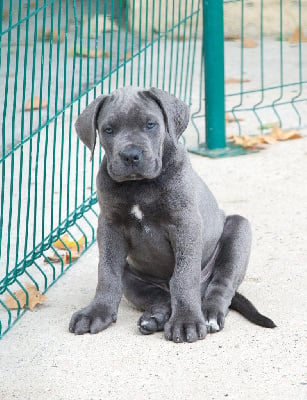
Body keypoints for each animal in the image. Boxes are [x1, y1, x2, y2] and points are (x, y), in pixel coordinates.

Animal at [70, 86, 276, 342]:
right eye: (108, 129)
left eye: (150, 124)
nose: (130, 155)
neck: (139, 185)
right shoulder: (110, 226)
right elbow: (107, 272)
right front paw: (96, 312)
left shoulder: (185, 224)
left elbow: (183, 276)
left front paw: (186, 321)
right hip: (133, 275)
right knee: (160, 297)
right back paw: (154, 318)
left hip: (239, 230)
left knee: (220, 285)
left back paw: (209, 315)